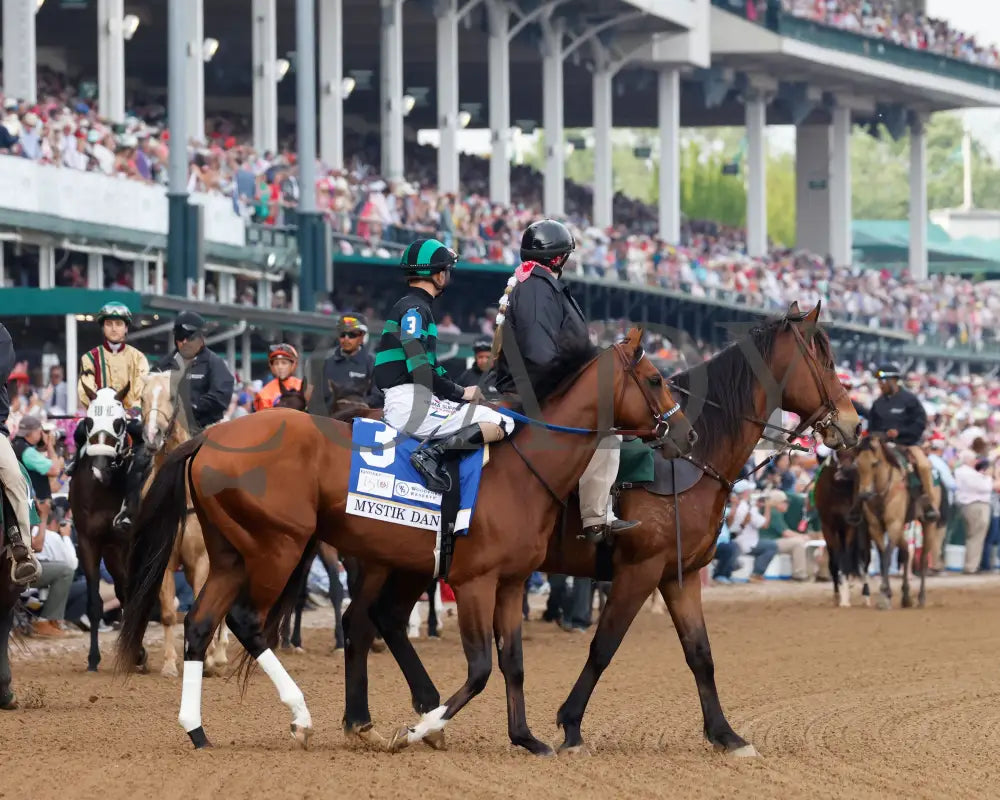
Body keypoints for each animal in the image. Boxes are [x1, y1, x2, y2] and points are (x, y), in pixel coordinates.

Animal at [119, 326, 696, 752]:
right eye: (655, 378)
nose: (686, 433)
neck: (522, 466)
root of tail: (211, 438)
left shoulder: (510, 582)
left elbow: (511, 662)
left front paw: (527, 738)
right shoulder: (474, 581)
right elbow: (481, 668)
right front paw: (420, 728)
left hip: (232, 554)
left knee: (202, 624)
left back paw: (197, 730)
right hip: (277, 547)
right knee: (248, 620)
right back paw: (302, 716)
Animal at [340, 300, 864, 756]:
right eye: (826, 359)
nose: (854, 425)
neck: (688, 460)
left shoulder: (680, 575)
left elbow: (700, 653)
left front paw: (726, 735)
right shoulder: (640, 570)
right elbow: (603, 646)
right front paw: (570, 725)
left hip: (412, 561)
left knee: (382, 620)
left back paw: (410, 717)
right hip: (385, 559)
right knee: (360, 623)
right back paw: (376, 720)